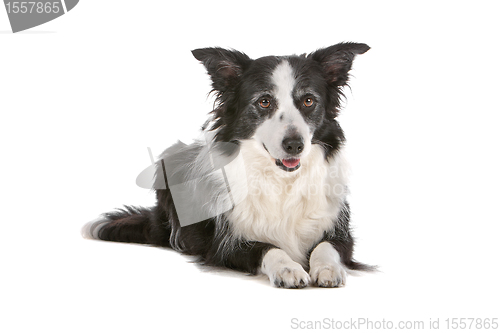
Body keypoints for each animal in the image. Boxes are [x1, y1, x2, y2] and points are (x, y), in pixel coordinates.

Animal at [84, 42, 376, 286]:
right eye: (264, 101)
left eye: (308, 100)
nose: (295, 145)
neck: (280, 180)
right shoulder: (225, 245)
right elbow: (268, 248)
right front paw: (288, 268)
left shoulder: (340, 232)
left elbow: (326, 247)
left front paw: (328, 269)